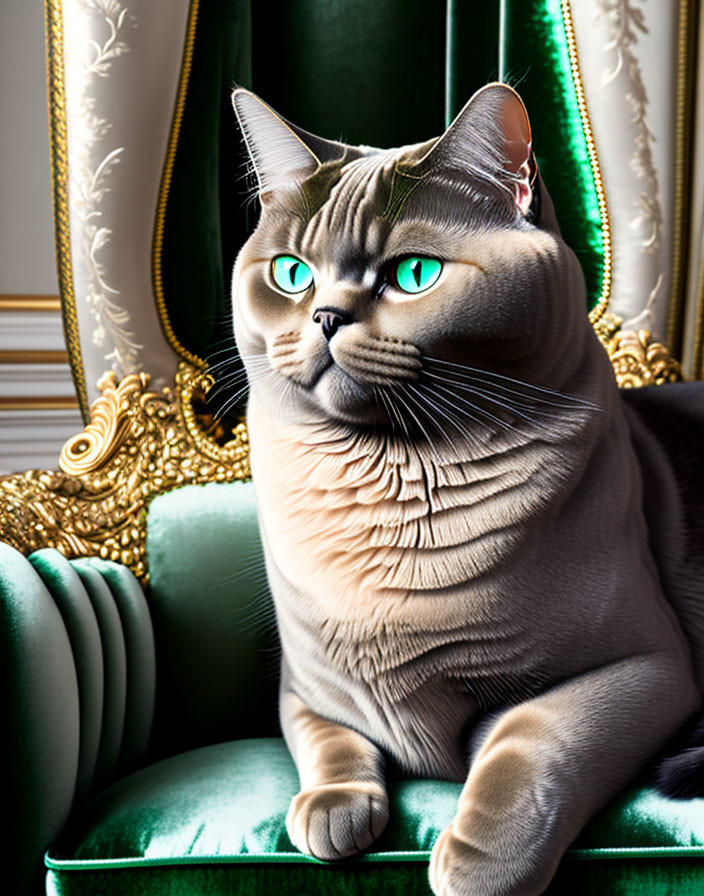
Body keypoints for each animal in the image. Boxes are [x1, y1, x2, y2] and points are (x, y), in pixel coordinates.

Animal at [228, 84, 700, 896]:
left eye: (414, 275)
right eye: (290, 274)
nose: (324, 316)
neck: (383, 488)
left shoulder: (645, 668)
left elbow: (529, 742)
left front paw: (477, 864)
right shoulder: (301, 687)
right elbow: (328, 738)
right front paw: (330, 810)